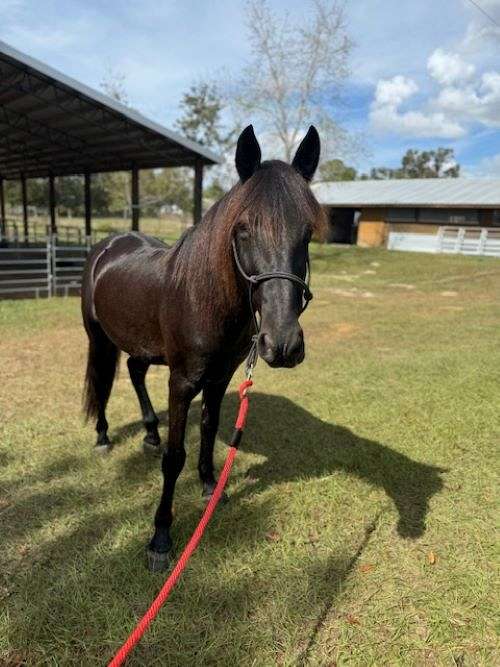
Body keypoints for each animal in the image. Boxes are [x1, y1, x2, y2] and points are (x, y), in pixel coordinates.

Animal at [80, 125, 326, 568]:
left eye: (308, 232)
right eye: (243, 229)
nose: (282, 344)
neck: (203, 298)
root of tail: (107, 246)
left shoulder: (219, 377)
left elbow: (210, 429)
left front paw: (211, 486)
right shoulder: (182, 381)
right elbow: (174, 456)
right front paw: (160, 537)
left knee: (135, 371)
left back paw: (150, 433)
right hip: (98, 338)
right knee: (102, 379)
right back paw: (104, 436)